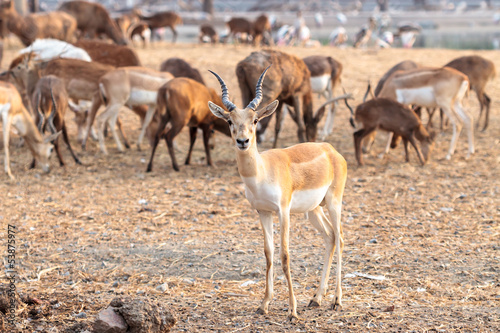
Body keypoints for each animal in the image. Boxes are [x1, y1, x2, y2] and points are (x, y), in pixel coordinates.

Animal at [209, 67, 346, 320]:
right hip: (314, 210)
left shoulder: (283, 211)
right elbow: (268, 254)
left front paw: (292, 311)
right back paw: (316, 298)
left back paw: (337, 300)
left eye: (255, 120)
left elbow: (284, 255)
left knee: (340, 237)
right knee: (330, 237)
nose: (243, 141)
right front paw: (264, 304)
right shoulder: (263, 212)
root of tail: (331, 150)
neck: (262, 171)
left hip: (334, 202)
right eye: (230, 121)